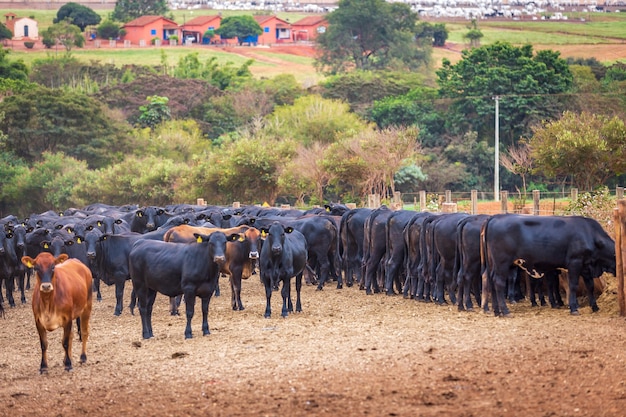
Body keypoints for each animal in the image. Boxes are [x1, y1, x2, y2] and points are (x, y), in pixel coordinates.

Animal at [480, 214, 612, 316]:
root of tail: (495, 217)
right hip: (502, 263)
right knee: (499, 282)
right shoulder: (575, 263)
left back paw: (497, 311)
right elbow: (572, 285)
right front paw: (573, 308)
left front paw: (595, 307)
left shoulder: (586, 266)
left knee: (490, 280)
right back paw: (505, 311)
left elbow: (590, 286)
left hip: (492, 264)